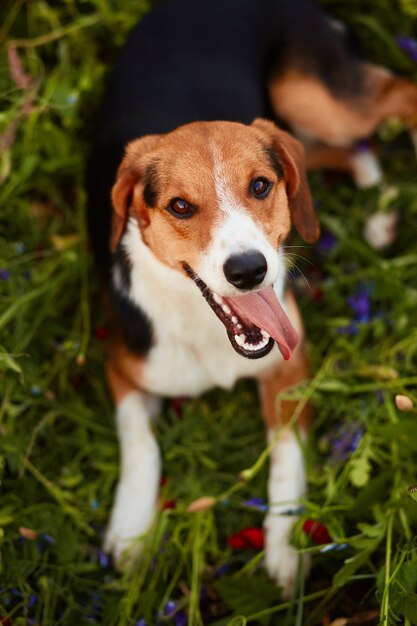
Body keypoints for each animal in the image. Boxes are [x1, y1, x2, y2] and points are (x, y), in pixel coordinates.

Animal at [86, 0, 414, 592]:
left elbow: (286, 459)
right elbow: (140, 444)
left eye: (260, 186)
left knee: (400, 99)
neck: (206, 329)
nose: (248, 271)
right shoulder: (123, 368)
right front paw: (129, 530)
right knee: (350, 151)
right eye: (180, 206)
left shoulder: (291, 368)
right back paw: (380, 214)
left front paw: (285, 547)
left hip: (317, 99)